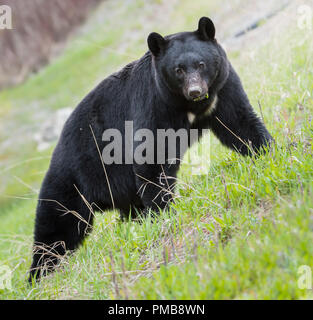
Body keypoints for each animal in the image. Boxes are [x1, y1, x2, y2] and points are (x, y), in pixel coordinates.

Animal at [28, 17, 270, 282]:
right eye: (178, 70)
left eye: (201, 64)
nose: (195, 91)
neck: (187, 105)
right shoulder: (154, 103)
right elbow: (152, 155)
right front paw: (164, 211)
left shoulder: (221, 87)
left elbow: (239, 122)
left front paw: (269, 150)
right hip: (73, 180)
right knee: (57, 226)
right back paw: (38, 274)